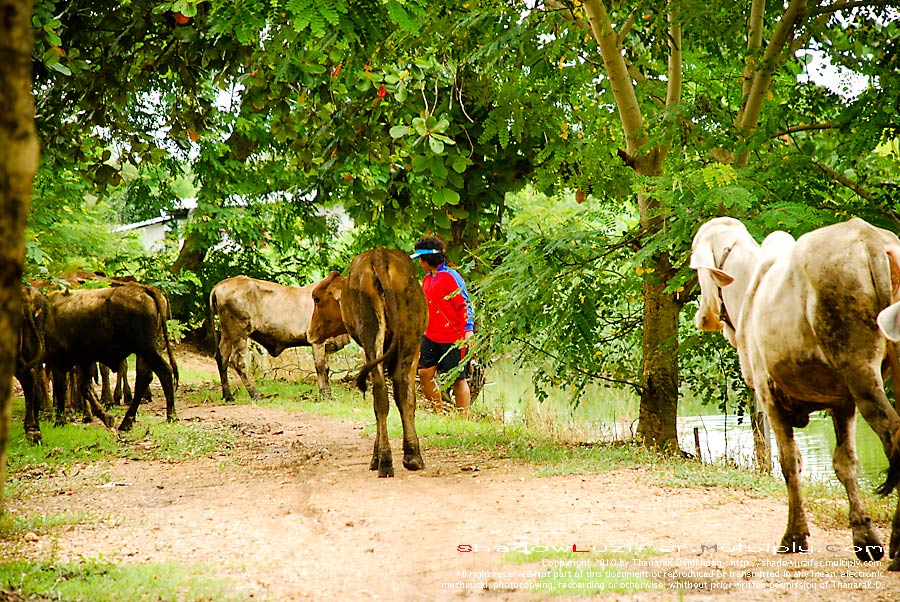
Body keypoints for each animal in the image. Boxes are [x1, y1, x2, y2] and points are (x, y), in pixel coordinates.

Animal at [44, 282, 179, 432]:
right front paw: (105, 416)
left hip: (146, 349)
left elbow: (62, 389)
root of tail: (143, 288)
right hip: (144, 352)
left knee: (164, 371)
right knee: (145, 376)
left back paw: (170, 416)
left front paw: (60, 421)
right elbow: (84, 387)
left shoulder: (59, 362)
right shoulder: (83, 361)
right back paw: (127, 420)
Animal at [209, 274, 350, 400]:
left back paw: (228, 396)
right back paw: (255, 395)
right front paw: (326, 396)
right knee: (238, 361)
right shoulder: (318, 342)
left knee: (222, 358)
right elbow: (320, 367)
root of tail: (222, 284)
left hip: (226, 332)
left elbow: (326, 368)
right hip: (239, 332)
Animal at [308, 246, 428, 476]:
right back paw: (409, 457)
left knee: (381, 394)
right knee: (397, 390)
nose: (309, 333)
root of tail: (379, 256)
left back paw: (384, 461)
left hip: (373, 336)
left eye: (316, 299)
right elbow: (410, 400)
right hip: (408, 336)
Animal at [688, 216, 900, 568]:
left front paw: (794, 536)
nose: (702, 316)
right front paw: (864, 537)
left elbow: (790, 463)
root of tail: (869, 237)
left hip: (859, 368)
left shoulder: (769, 395)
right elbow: (845, 463)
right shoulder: (842, 402)